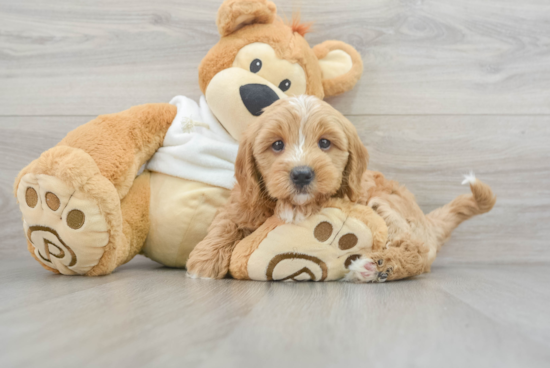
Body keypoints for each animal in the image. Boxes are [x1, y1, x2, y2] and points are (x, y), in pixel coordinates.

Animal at [188, 95, 498, 282]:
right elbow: (226, 222)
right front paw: (204, 260)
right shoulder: (245, 199)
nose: (302, 174)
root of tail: (427, 222)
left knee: (416, 249)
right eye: (277, 145)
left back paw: (377, 266)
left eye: (325, 143)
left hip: (385, 205)